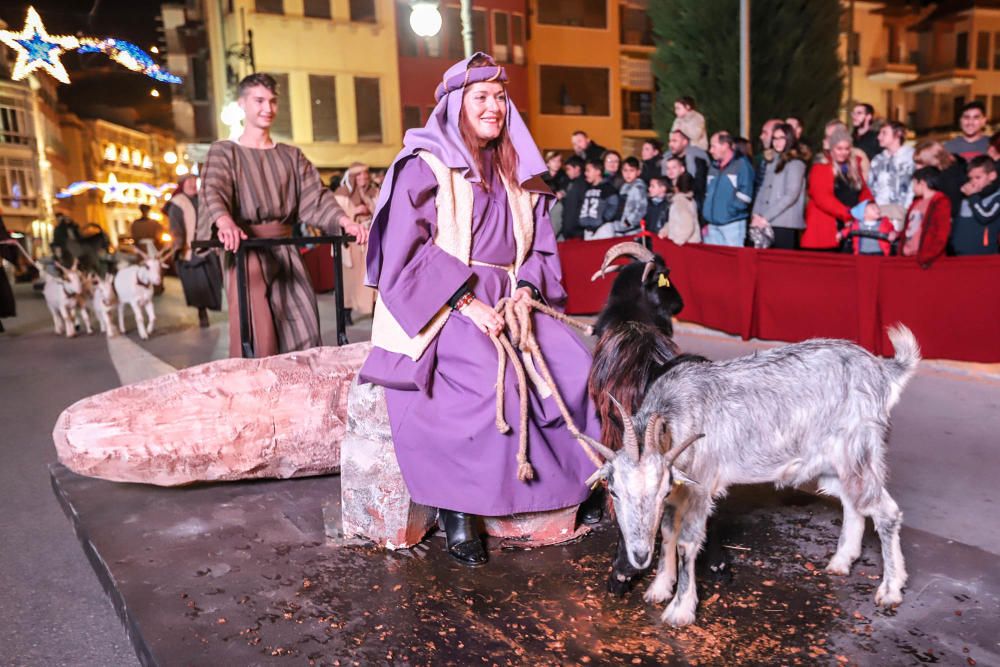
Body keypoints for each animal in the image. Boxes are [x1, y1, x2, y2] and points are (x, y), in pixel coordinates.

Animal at [584, 326, 920, 628]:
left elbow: (686, 543)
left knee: (886, 511)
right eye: (613, 490)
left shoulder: (699, 486)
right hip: (833, 465)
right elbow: (667, 533)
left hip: (859, 449)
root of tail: (881, 371)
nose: (639, 556)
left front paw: (680, 610)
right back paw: (841, 562)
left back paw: (890, 590)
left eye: (659, 490)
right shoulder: (679, 490)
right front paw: (659, 588)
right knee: (853, 503)